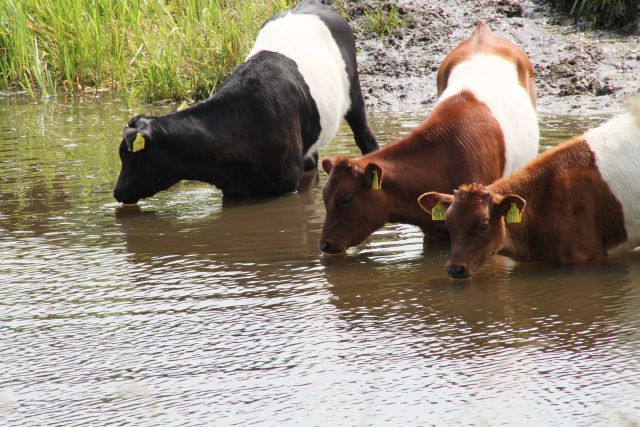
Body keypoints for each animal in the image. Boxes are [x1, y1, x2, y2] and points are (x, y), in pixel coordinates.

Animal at [112, 0, 378, 204]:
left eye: (128, 155)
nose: (117, 192)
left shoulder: (285, 185)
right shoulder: (233, 190)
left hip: (354, 92)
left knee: (365, 137)